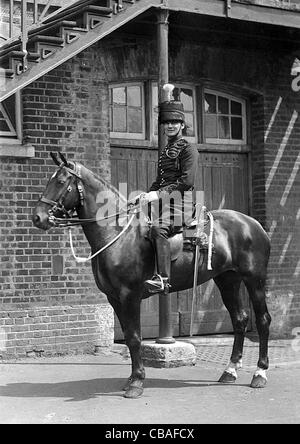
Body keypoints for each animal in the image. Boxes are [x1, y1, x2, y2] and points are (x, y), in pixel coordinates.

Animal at [32, 153, 272, 398]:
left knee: (263, 320)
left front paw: (137, 382)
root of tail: (253, 224)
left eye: (61, 181)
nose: (38, 217)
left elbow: (135, 337)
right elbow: (128, 336)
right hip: (227, 280)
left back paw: (259, 373)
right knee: (240, 319)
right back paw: (230, 371)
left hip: (254, 280)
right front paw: (132, 378)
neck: (118, 233)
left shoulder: (129, 296)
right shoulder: (114, 298)